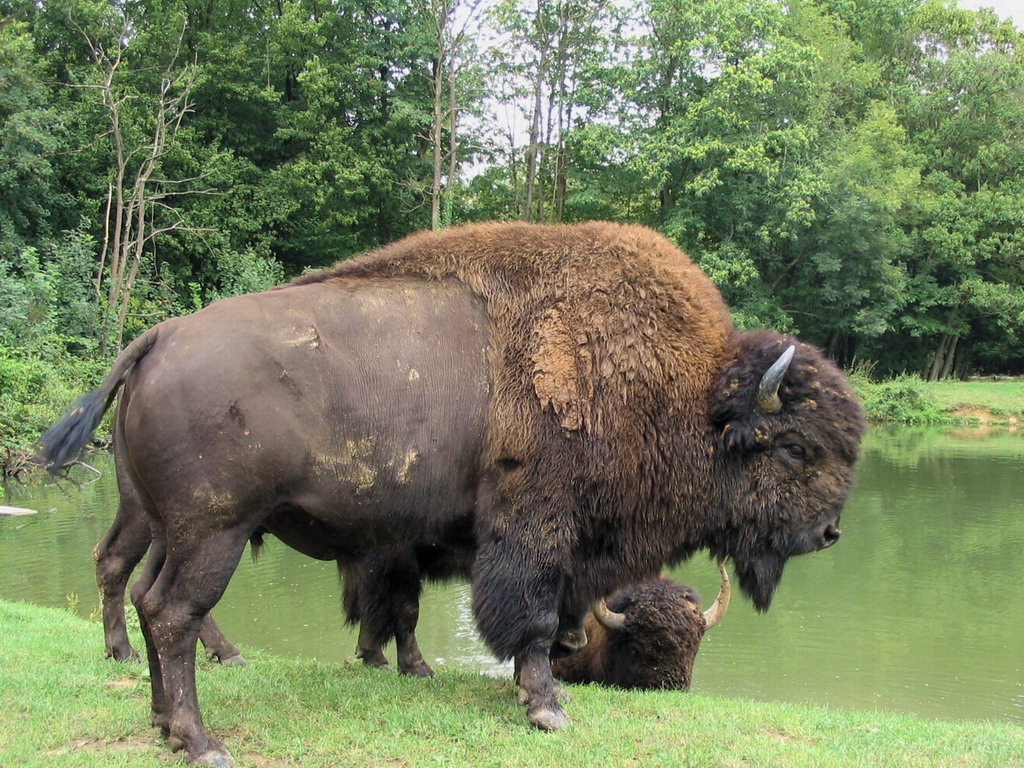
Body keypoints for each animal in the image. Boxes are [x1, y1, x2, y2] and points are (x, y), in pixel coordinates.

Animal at [37, 219, 864, 765]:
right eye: (795, 445)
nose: (829, 532)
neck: (676, 392)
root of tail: (158, 337)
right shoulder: (534, 536)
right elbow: (531, 622)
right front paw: (545, 708)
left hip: (176, 529)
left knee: (147, 598)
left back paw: (161, 723)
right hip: (215, 532)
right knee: (172, 612)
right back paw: (203, 741)